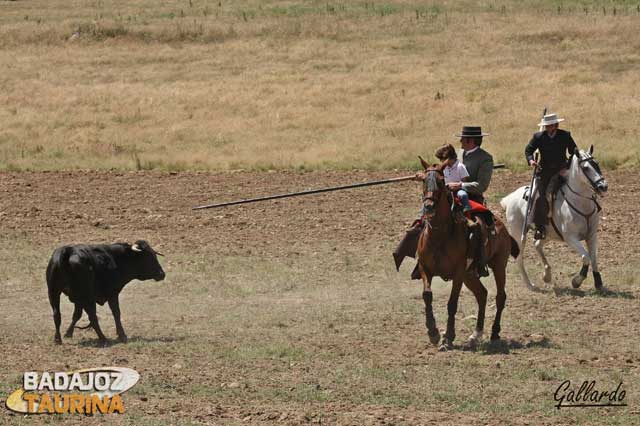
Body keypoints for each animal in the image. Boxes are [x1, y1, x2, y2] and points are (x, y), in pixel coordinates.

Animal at [420, 161, 520, 352]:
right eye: (422, 180)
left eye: (441, 181)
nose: (429, 206)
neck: (439, 236)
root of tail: (502, 227)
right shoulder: (425, 269)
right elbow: (427, 295)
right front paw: (433, 332)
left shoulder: (458, 274)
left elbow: (452, 304)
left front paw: (448, 338)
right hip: (470, 275)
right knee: (482, 294)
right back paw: (476, 334)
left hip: (498, 266)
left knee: (500, 297)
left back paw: (494, 333)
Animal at [500, 146, 608, 290]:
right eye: (585, 168)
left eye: (597, 164)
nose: (603, 186)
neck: (580, 202)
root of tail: (510, 198)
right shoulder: (571, 238)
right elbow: (586, 257)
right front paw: (577, 280)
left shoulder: (592, 236)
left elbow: (594, 258)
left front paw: (598, 282)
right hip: (518, 235)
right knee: (519, 258)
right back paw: (530, 285)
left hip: (548, 233)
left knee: (537, 244)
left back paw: (547, 275)